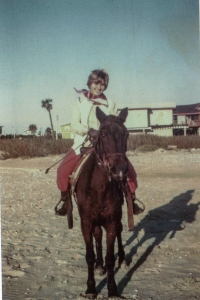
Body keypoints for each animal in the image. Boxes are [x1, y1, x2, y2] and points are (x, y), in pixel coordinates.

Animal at [74, 107, 129, 298]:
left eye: (126, 134)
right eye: (103, 135)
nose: (119, 170)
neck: (98, 188)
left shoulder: (111, 220)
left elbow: (110, 258)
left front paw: (112, 289)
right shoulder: (86, 222)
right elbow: (89, 255)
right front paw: (91, 288)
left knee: (119, 231)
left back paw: (123, 259)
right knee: (97, 235)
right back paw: (99, 266)